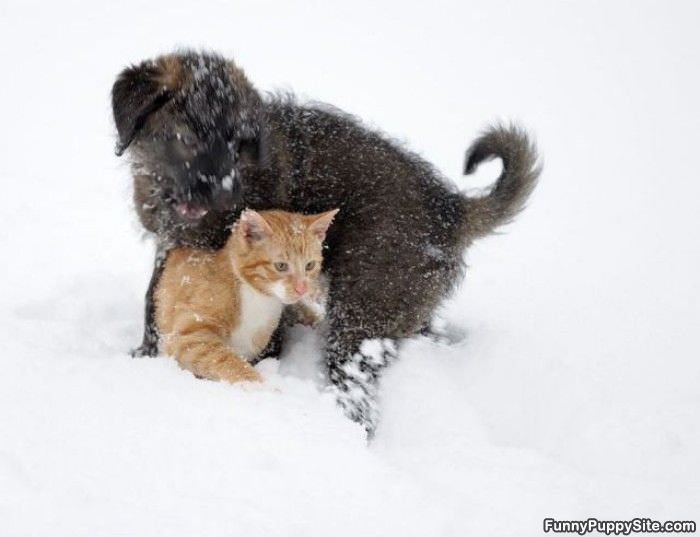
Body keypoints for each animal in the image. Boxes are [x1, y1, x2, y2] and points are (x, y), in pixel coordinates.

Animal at [155, 207, 340, 384]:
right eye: (281, 266)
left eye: (310, 265)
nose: (302, 289)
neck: (256, 297)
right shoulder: (186, 336)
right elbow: (227, 361)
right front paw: (263, 387)